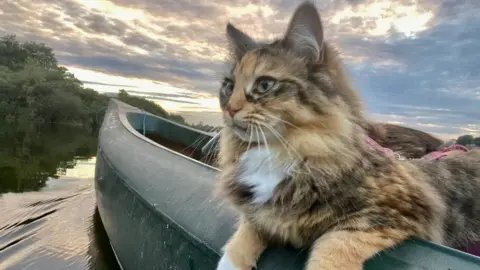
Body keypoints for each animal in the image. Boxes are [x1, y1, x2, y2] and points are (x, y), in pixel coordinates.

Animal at [216, 1, 480, 268]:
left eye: (264, 85)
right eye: (228, 86)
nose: (230, 110)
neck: (283, 150)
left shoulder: (388, 211)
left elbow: (333, 250)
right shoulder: (259, 212)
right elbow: (241, 238)